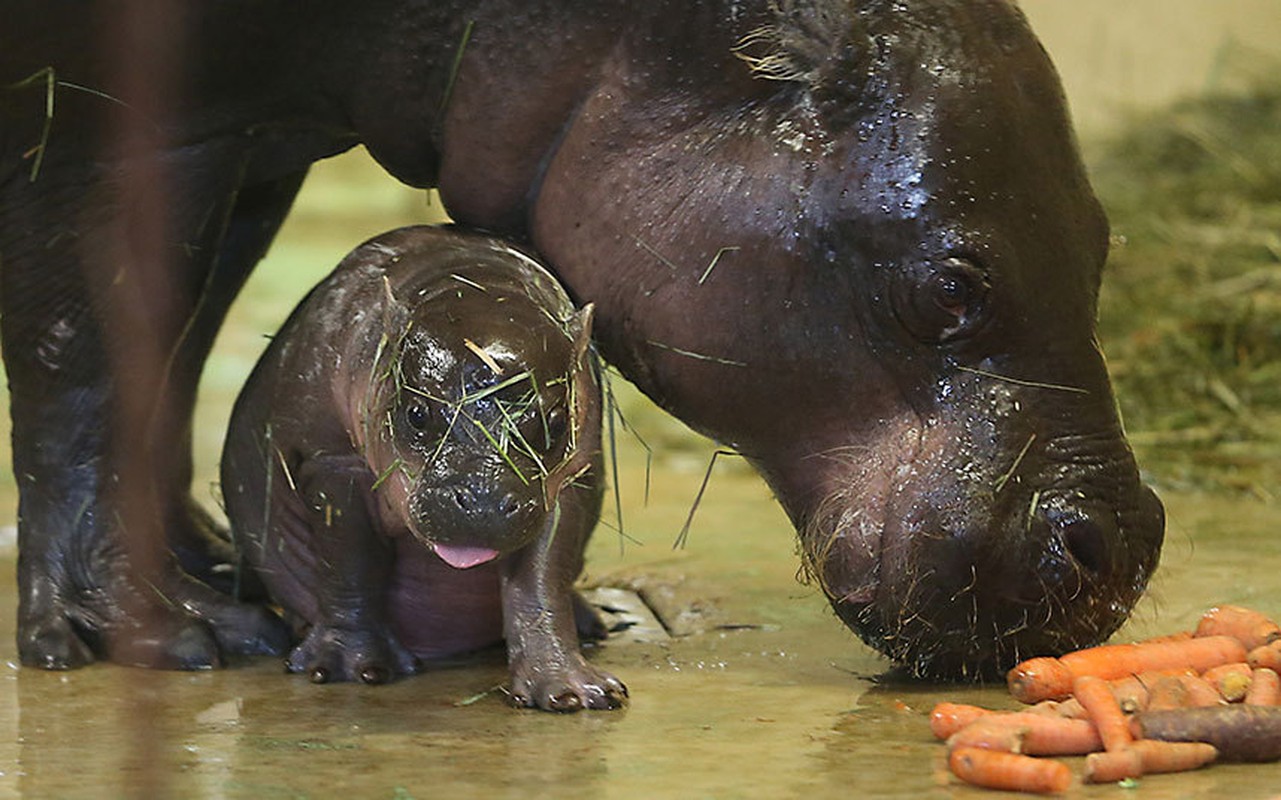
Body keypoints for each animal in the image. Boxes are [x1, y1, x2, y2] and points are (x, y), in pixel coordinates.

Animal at [221, 225, 630, 711]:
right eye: (418, 413)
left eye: (553, 420)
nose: (484, 502)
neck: (479, 283)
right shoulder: (334, 465)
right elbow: (350, 564)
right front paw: (347, 669)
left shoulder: (569, 480)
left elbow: (541, 582)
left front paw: (576, 693)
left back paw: (595, 623)